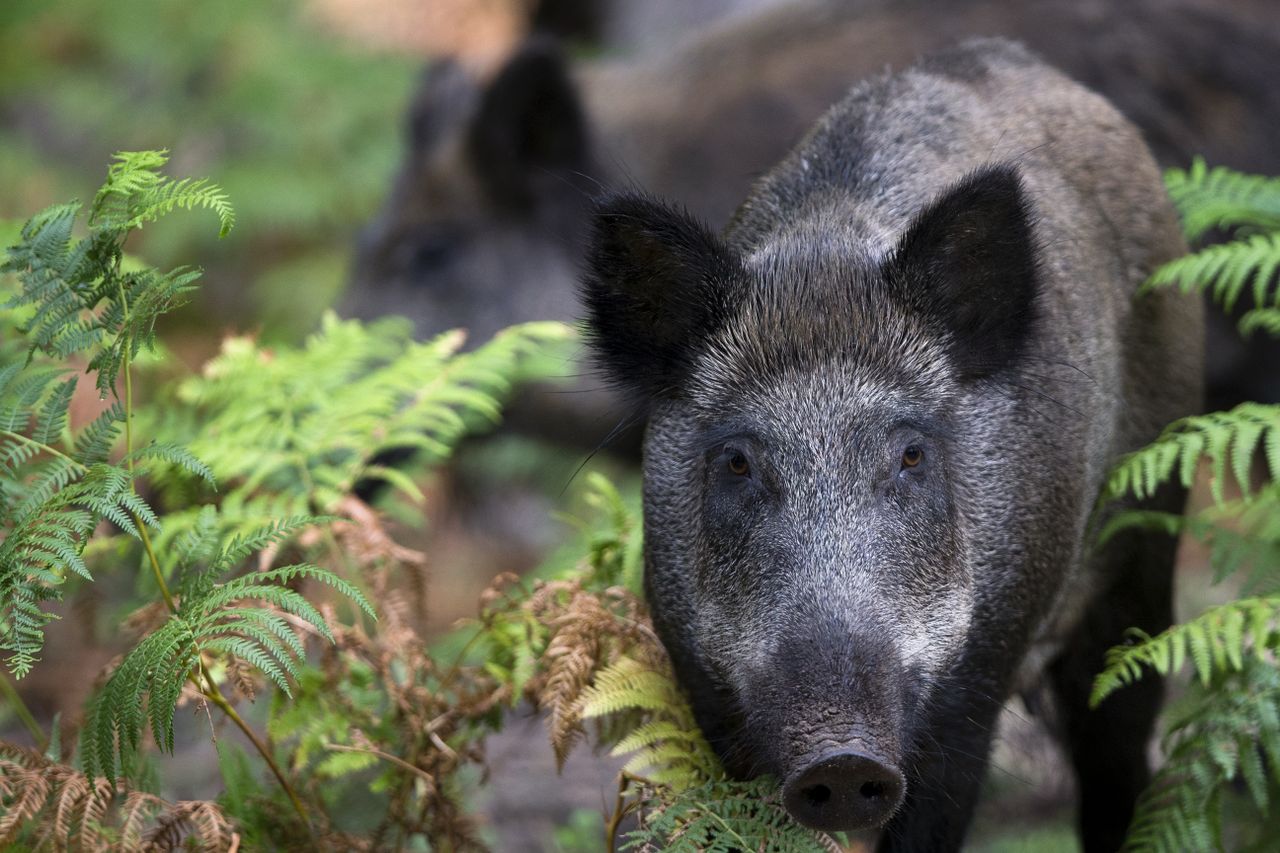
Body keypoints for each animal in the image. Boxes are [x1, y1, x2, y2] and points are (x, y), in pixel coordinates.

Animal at [581, 38, 1198, 850]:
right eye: (737, 460)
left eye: (910, 454)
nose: (841, 760)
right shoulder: (701, 682)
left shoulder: (978, 675)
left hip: (1149, 536)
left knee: (1118, 746)